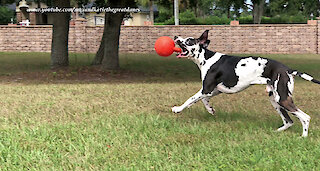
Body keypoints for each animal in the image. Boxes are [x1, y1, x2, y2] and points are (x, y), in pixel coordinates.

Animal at [172, 30, 320, 137]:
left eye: (189, 40)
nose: (175, 36)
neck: (206, 58)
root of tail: (287, 69)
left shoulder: (206, 89)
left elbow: (190, 99)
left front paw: (178, 109)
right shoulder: (215, 90)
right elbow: (203, 100)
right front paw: (210, 109)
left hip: (282, 99)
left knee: (305, 117)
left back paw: (303, 137)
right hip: (275, 100)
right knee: (289, 121)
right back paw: (277, 132)